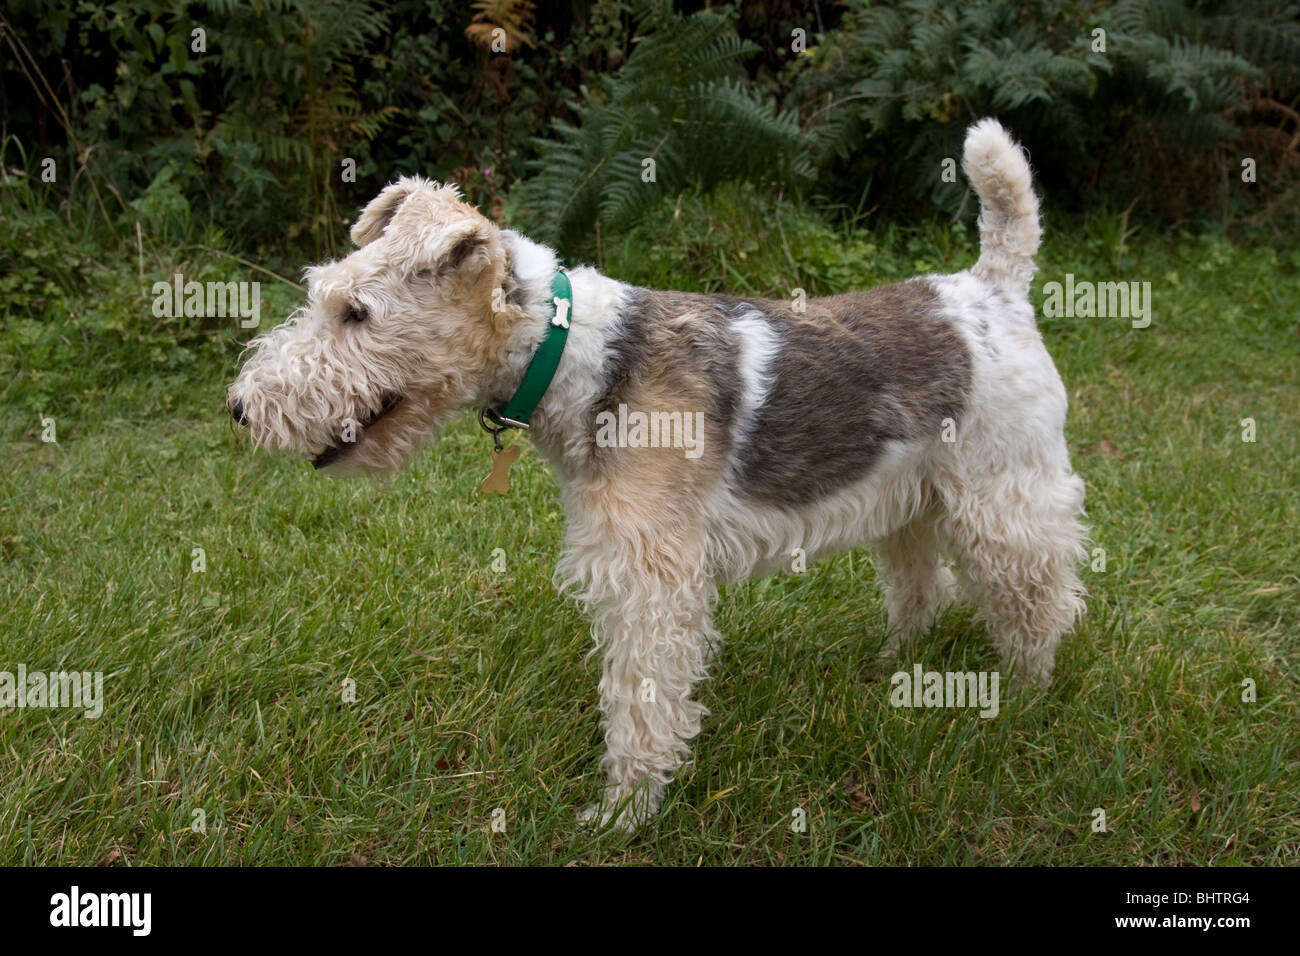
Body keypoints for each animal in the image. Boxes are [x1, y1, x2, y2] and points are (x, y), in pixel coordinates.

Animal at [228, 117, 1081, 832]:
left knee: (1041, 606)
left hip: (1004, 500)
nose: (241, 408)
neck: (572, 353)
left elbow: (639, 704)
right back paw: (888, 666)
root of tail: (992, 284)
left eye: (357, 313)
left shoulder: (649, 579)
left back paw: (1027, 701)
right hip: (910, 500)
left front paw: (622, 812)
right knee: (921, 589)